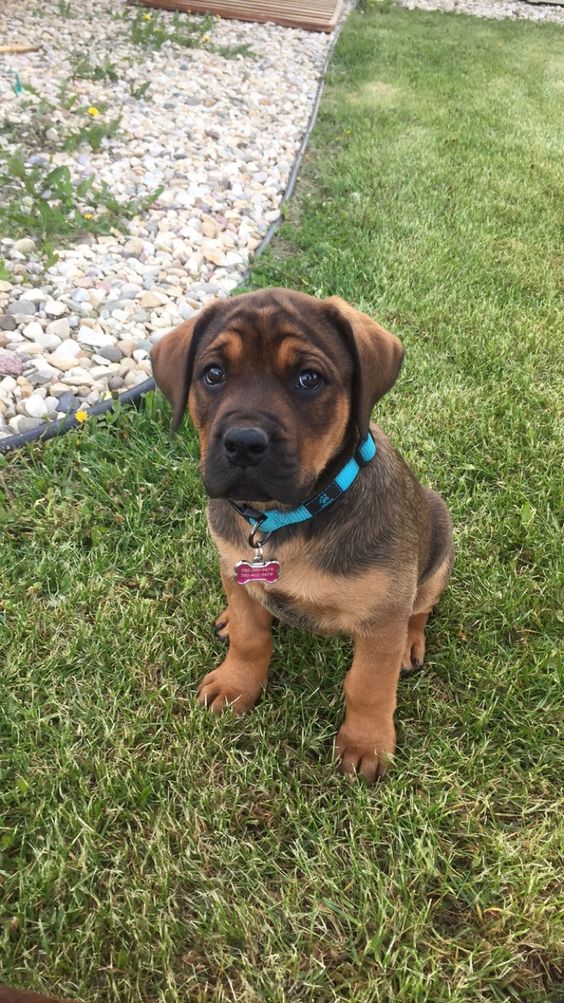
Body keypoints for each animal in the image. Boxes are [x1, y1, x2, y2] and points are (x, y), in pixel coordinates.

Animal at [150, 286, 451, 778]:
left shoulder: (382, 612)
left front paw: (366, 741)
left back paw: (409, 641)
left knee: (420, 607)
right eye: (213, 374)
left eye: (309, 379)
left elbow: (369, 682)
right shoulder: (233, 565)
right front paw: (236, 683)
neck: (281, 520)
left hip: (439, 542)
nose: (243, 442)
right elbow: (252, 640)